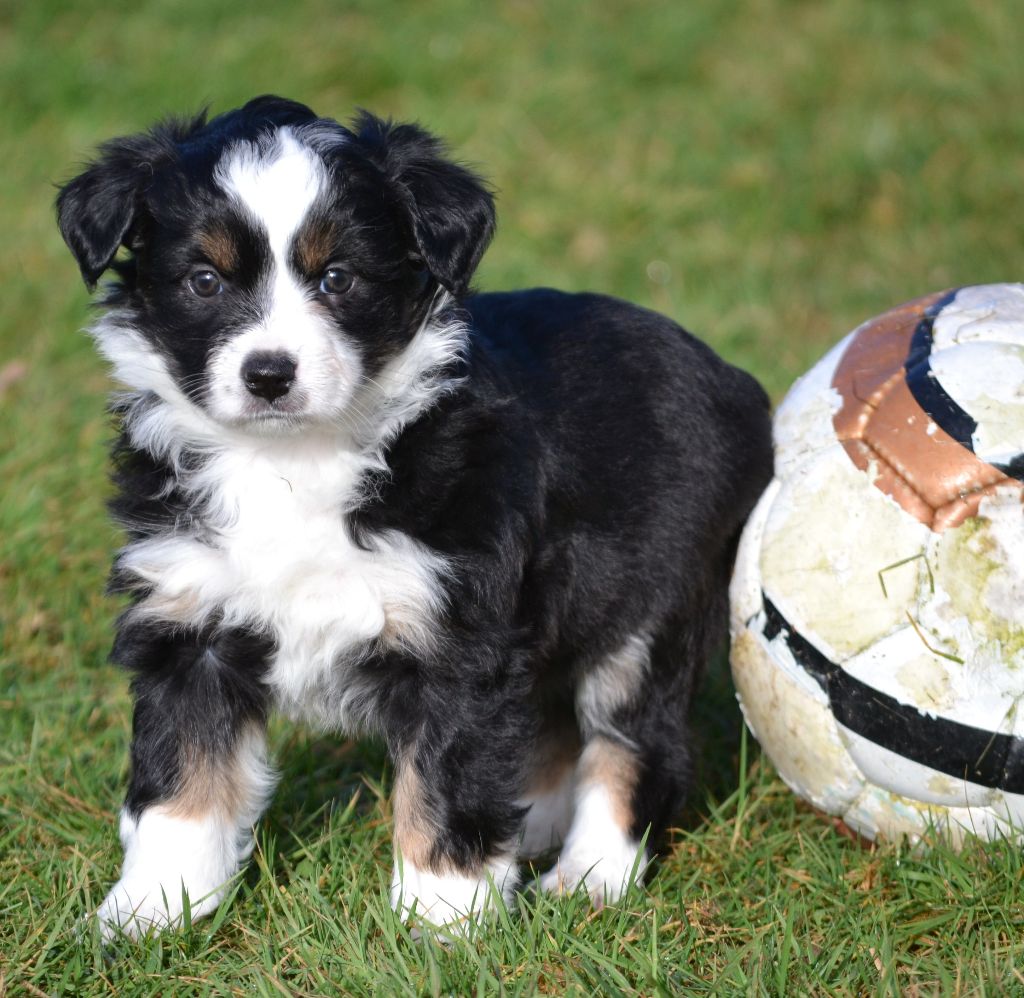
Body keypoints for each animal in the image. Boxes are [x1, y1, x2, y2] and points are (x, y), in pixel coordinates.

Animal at [56, 95, 774, 937]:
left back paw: (589, 877)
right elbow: (179, 783)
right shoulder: (189, 619)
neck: (291, 460)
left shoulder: (459, 636)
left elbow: (447, 777)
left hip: (652, 607)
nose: (269, 375)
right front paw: (150, 911)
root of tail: (733, 380)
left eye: (338, 278)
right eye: (204, 280)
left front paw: (442, 918)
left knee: (636, 743)